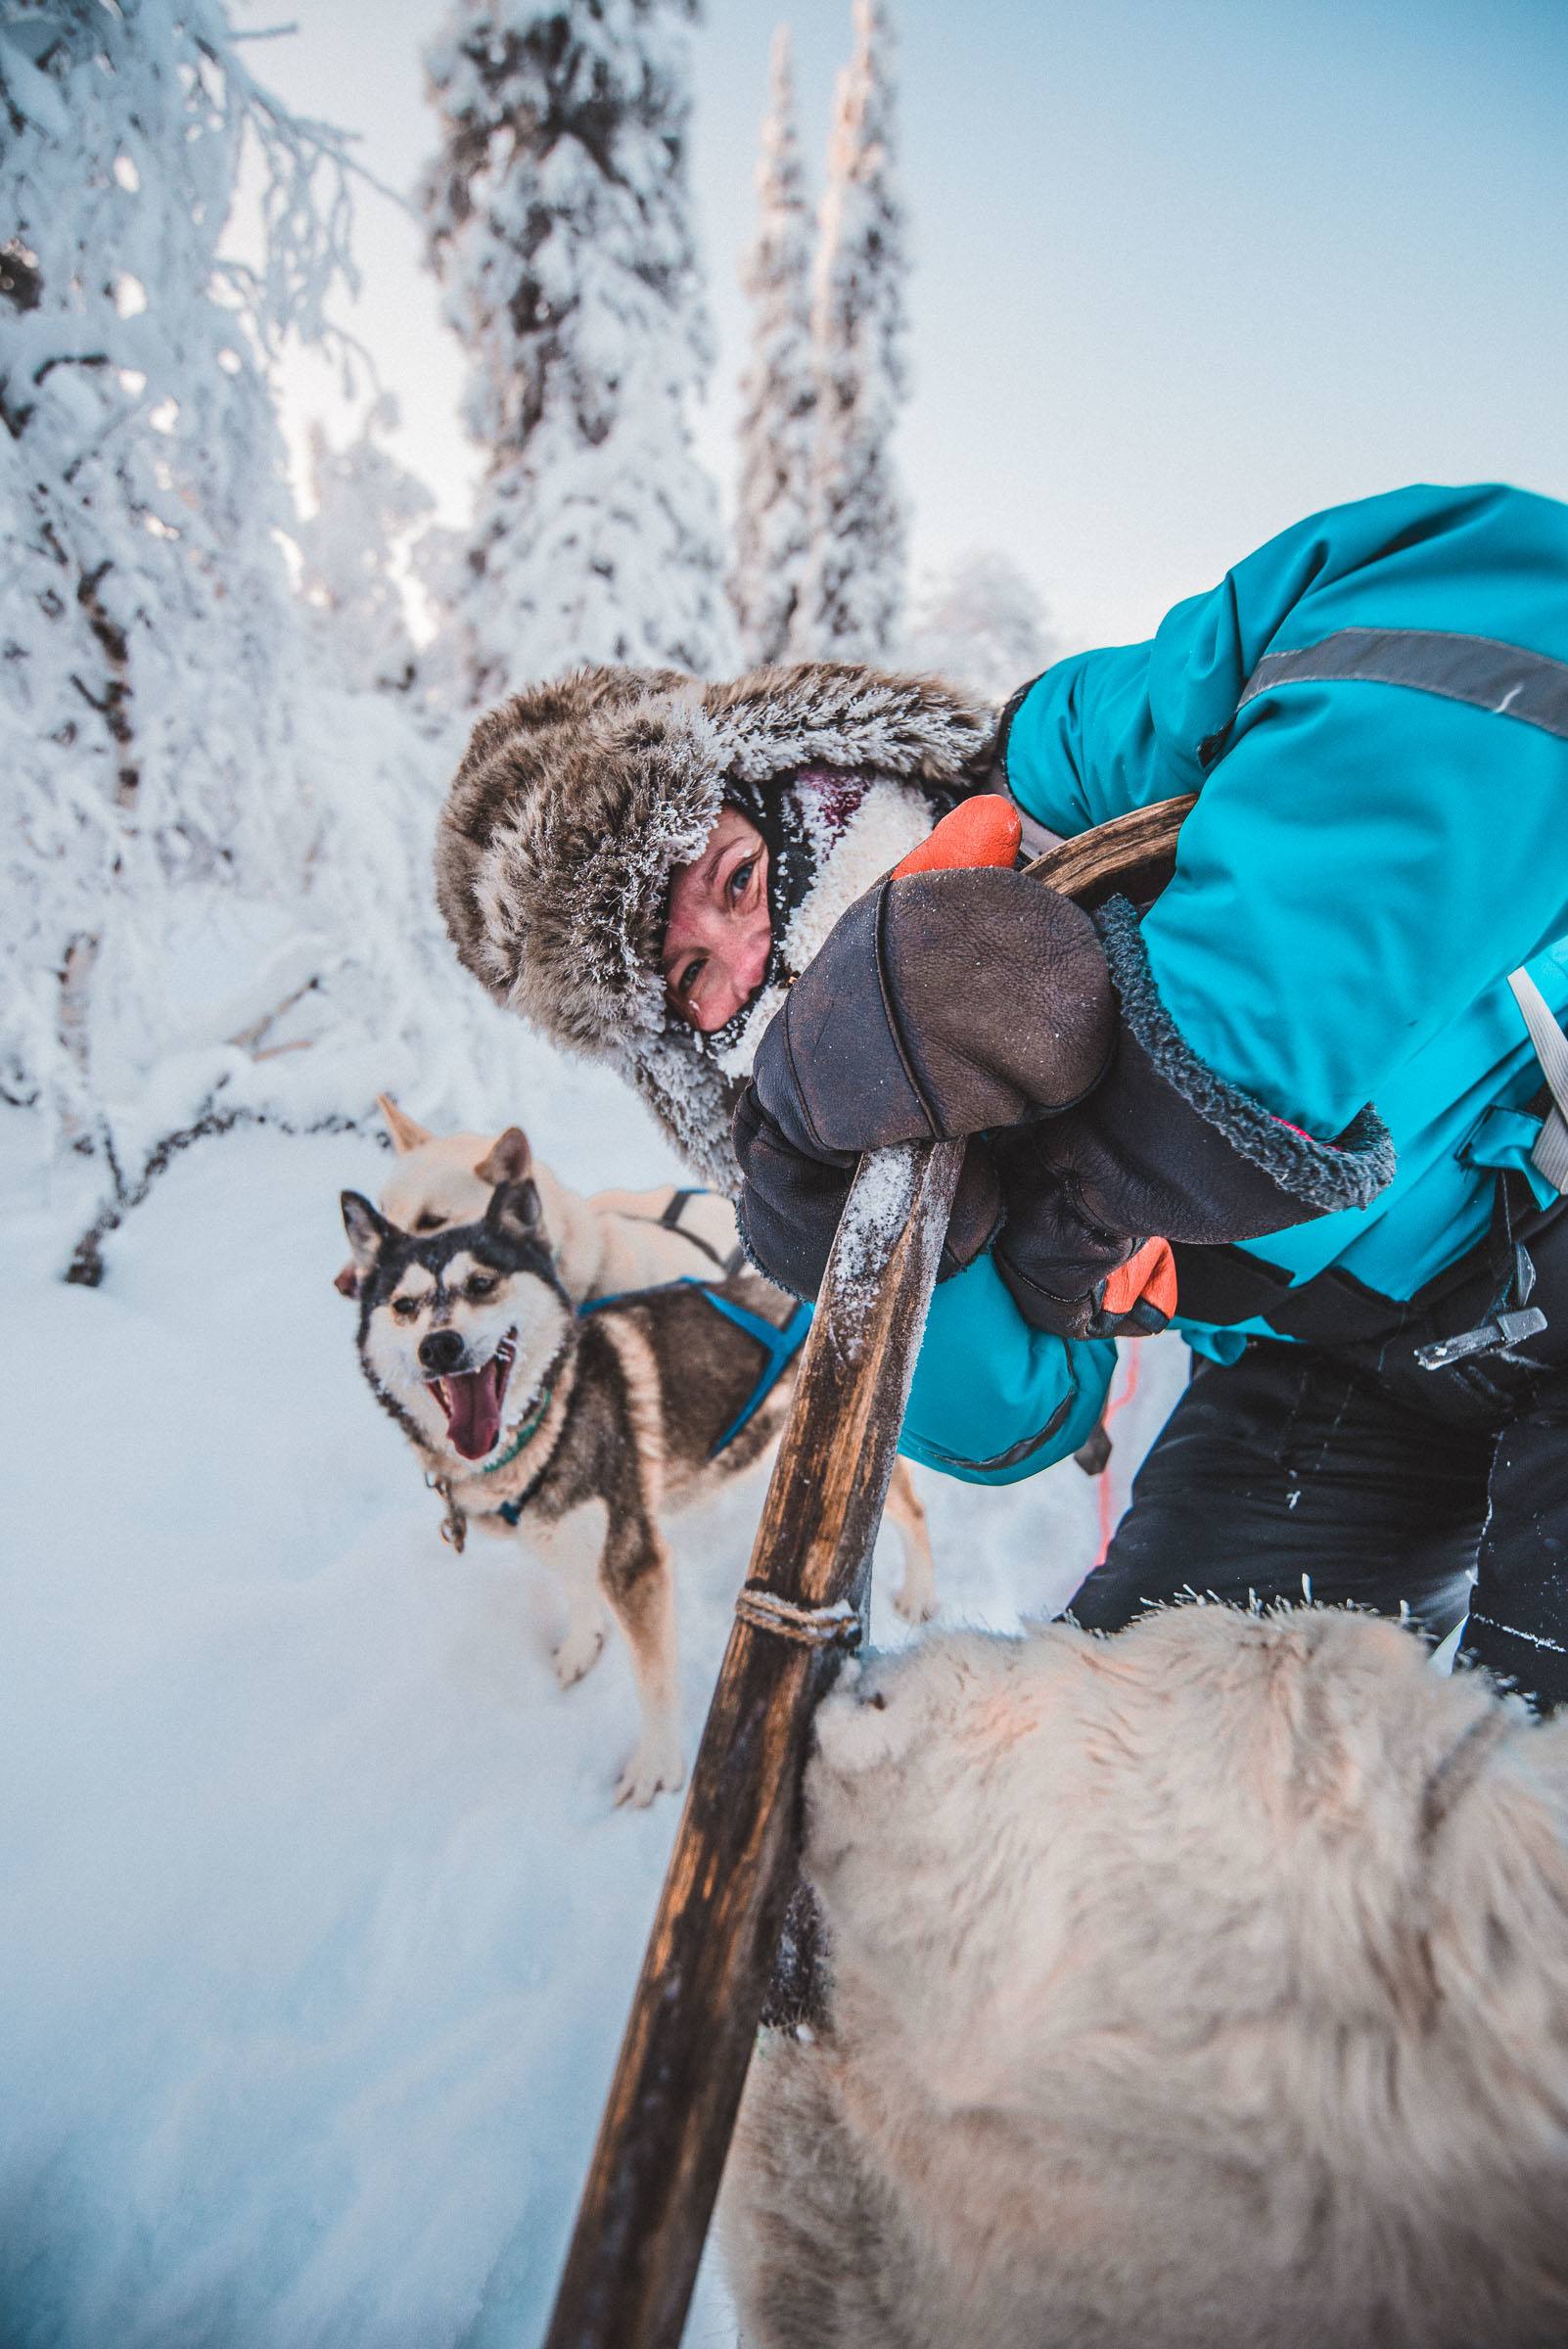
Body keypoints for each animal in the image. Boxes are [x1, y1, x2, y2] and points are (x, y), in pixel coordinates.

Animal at [343, 1128, 939, 1804]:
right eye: (404, 1304)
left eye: (481, 1284)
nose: (438, 1347)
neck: (552, 1414)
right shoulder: (560, 1532)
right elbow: (576, 1587)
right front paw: (582, 1644)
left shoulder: (635, 1561)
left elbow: (651, 1679)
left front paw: (655, 1766)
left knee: (913, 1513)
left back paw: (920, 1592)